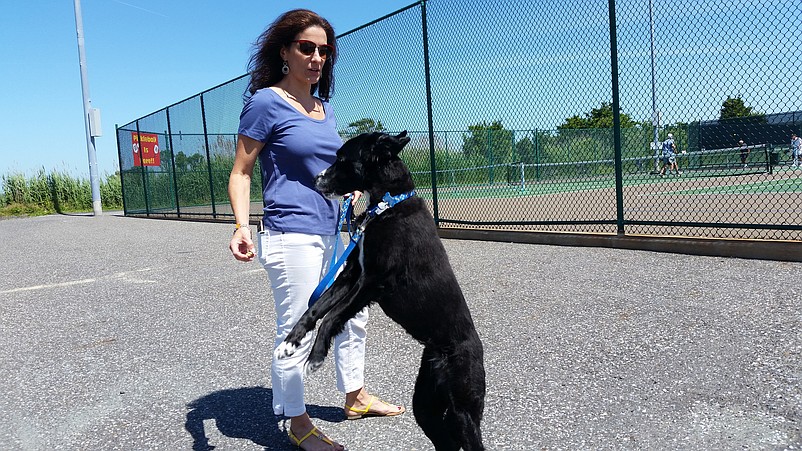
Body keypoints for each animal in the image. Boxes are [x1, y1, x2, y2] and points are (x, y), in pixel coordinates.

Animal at [276, 132, 484, 451]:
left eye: (341, 158)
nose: (316, 178)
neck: (388, 205)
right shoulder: (351, 274)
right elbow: (315, 309)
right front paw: (289, 344)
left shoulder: (373, 283)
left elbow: (331, 317)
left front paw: (315, 357)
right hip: (426, 405)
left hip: (463, 409)